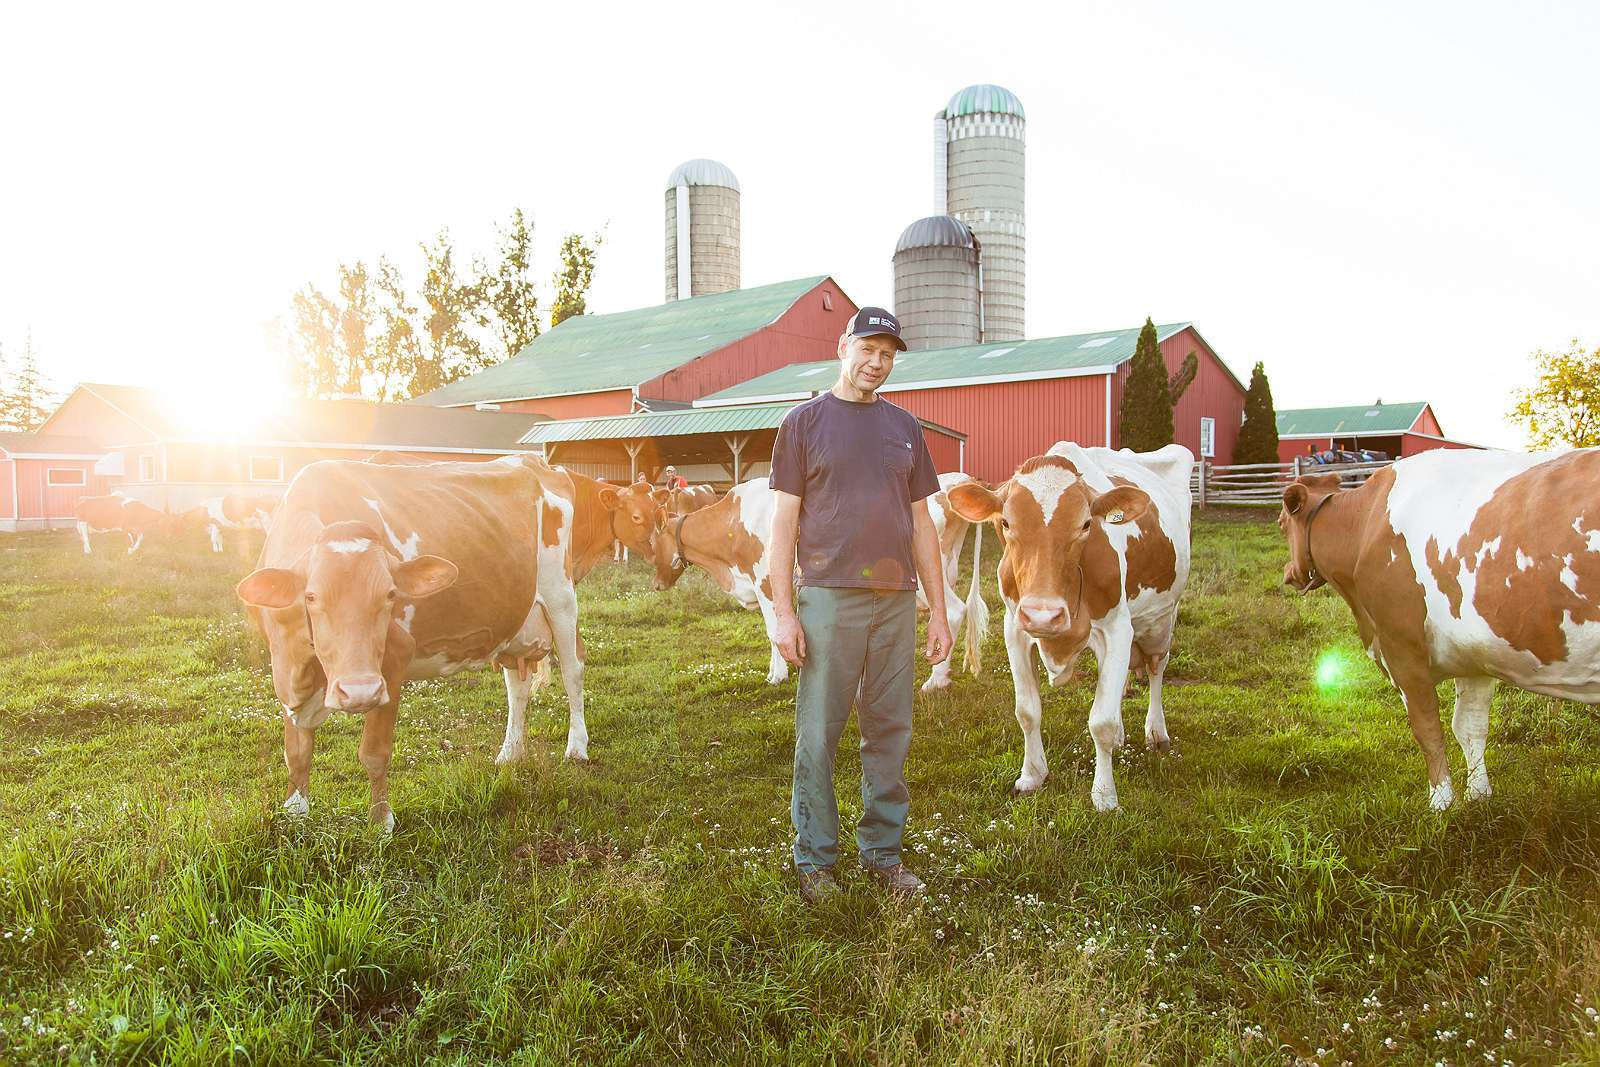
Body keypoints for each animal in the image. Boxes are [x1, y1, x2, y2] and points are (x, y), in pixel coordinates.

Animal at [232, 460, 556, 831]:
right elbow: (296, 752)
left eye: (390, 594)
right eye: (310, 596)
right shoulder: (284, 668)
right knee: (518, 686)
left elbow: (374, 752)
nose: (359, 692)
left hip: (563, 599)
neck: (301, 666)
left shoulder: (395, 659)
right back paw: (510, 754)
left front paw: (380, 821)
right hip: (514, 628)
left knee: (575, 671)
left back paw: (576, 749)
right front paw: (296, 812)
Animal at [649, 470, 985, 687]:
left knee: (953, 611)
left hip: (926, 576)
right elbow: (784, 631)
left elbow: (773, 631)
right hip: (948, 567)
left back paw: (936, 681)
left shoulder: (765, 581)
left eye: (654, 542)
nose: (655, 585)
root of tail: (957, 480)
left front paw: (777, 676)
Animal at [947, 444, 1190, 809]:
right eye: (1006, 522)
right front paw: (1032, 775)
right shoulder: (1015, 628)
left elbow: (1101, 722)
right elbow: (1027, 711)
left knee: (1156, 668)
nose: (1043, 615)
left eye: (1087, 524)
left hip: (1161, 619)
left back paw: (1156, 732)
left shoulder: (1118, 629)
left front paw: (1104, 795)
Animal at [1273, 447, 1600, 809]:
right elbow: (1470, 726)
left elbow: (1427, 725)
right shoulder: (1474, 655)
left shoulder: (1400, 645)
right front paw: (1478, 796)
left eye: (1280, 523)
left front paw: (1441, 800)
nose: (1289, 573)